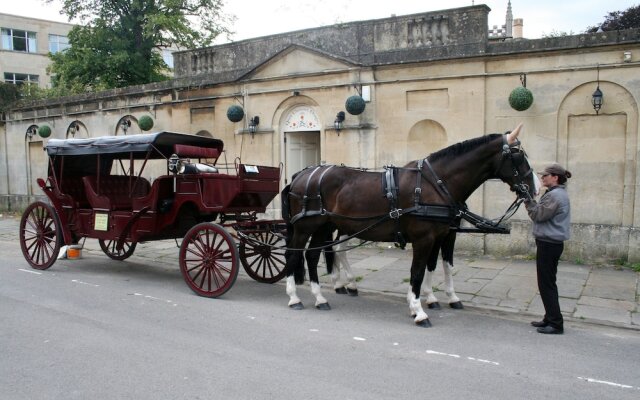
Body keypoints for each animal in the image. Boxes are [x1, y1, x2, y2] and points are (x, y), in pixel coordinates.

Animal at [280, 125, 536, 328]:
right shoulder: (424, 238)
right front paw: (418, 310)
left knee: (313, 256)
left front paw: (436, 299)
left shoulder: (442, 235)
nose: (534, 189)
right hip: (305, 227)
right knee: (294, 254)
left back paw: (321, 297)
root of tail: (301, 174)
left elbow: (438, 266)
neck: (436, 185)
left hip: (324, 226)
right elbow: (418, 272)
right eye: (518, 156)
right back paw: (295, 297)